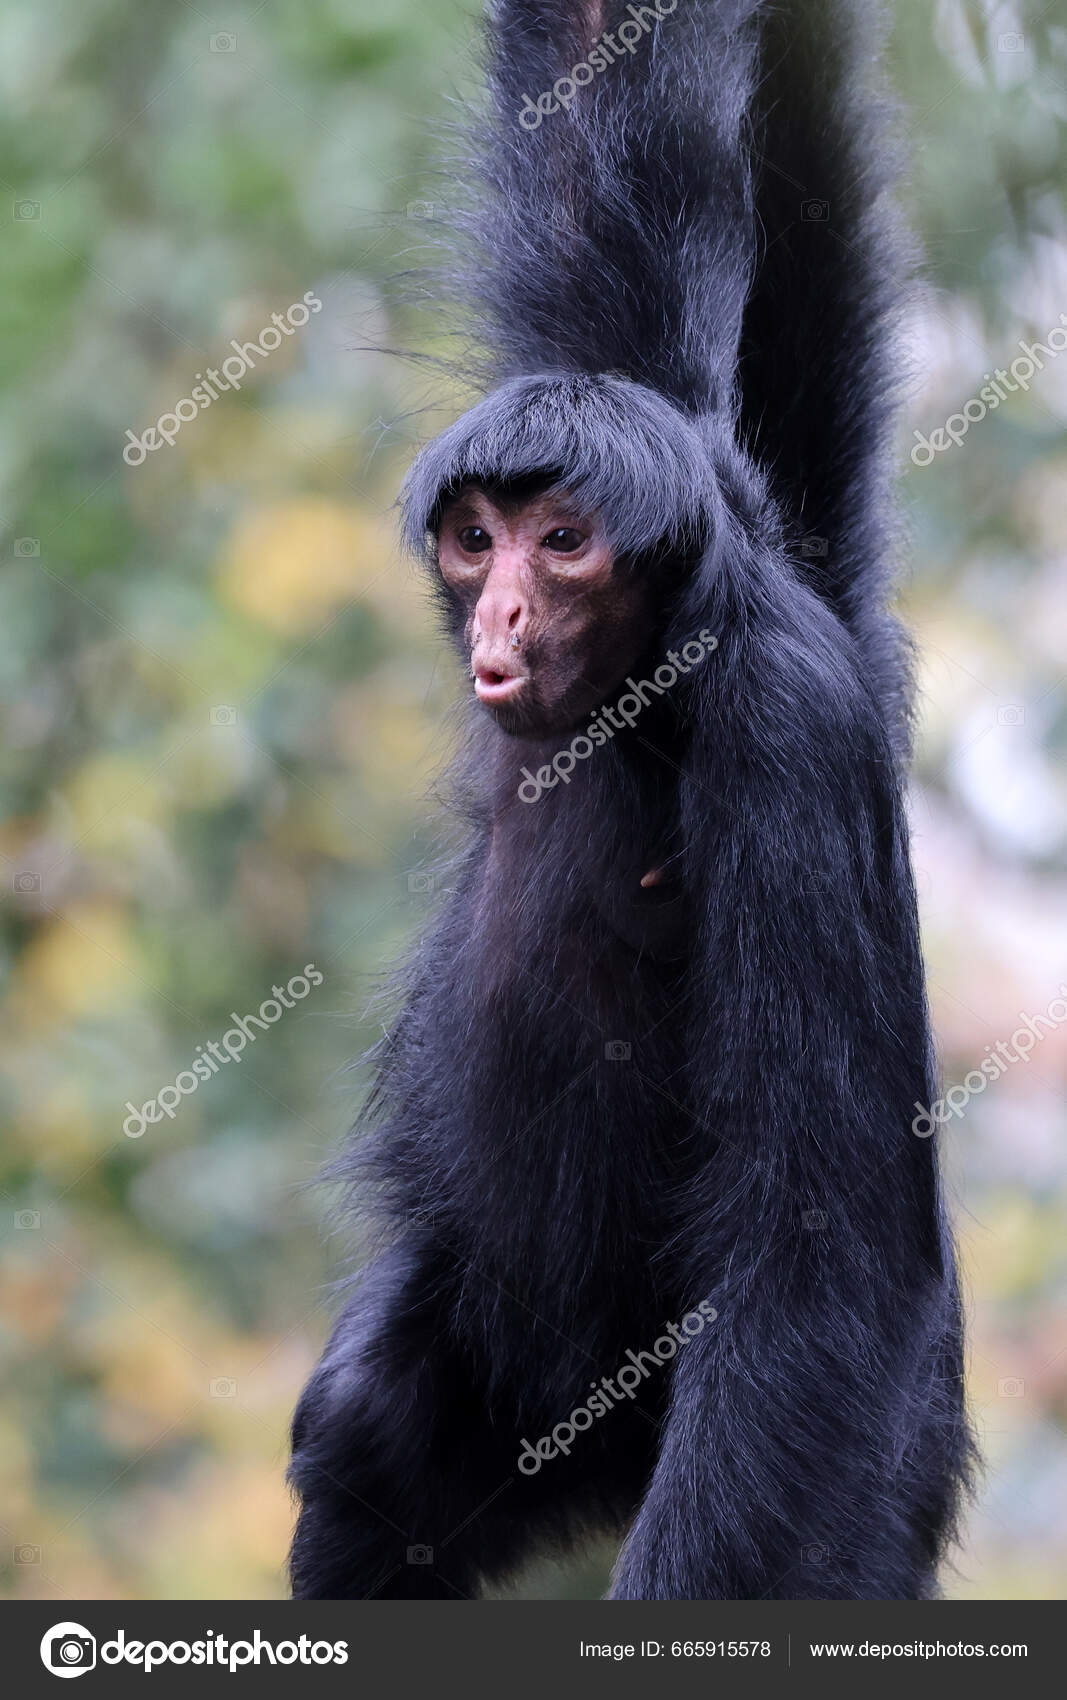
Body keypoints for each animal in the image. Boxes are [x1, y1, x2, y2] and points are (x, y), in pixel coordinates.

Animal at [288, 0, 978, 1598]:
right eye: (479, 537)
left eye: (564, 542)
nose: (501, 619)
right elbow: (597, 93)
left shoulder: (788, 724)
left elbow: (822, 1266)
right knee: (368, 1432)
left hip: (867, 1464)